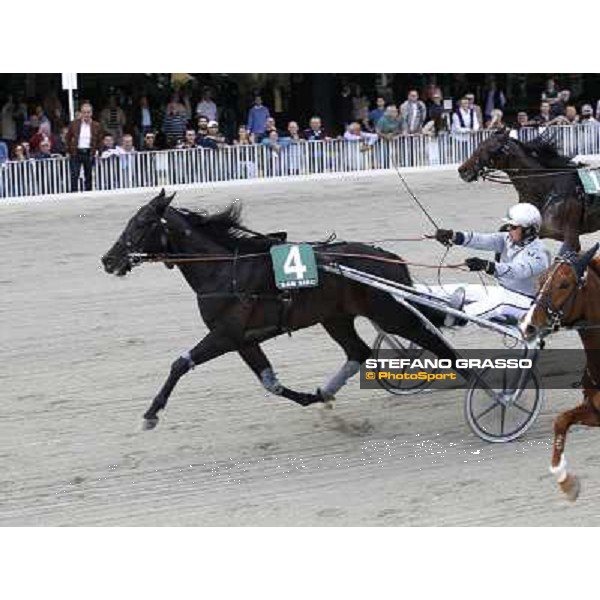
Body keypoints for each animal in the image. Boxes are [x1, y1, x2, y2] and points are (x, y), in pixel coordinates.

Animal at [101, 190, 458, 428]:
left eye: (142, 223)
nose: (107, 259)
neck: (224, 269)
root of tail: (388, 257)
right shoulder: (243, 340)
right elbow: (269, 382)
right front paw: (314, 397)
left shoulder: (225, 334)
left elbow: (179, 364)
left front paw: (151, 414)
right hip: (336, 318)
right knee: (358, 351)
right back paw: (328, 389)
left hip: (391, 315)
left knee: (432, 340)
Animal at [520, 244, 600, 502]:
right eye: (540, 279)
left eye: (564, 284)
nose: (527, 325)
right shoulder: (595, 412)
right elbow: (561, 421)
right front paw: (566, 480)